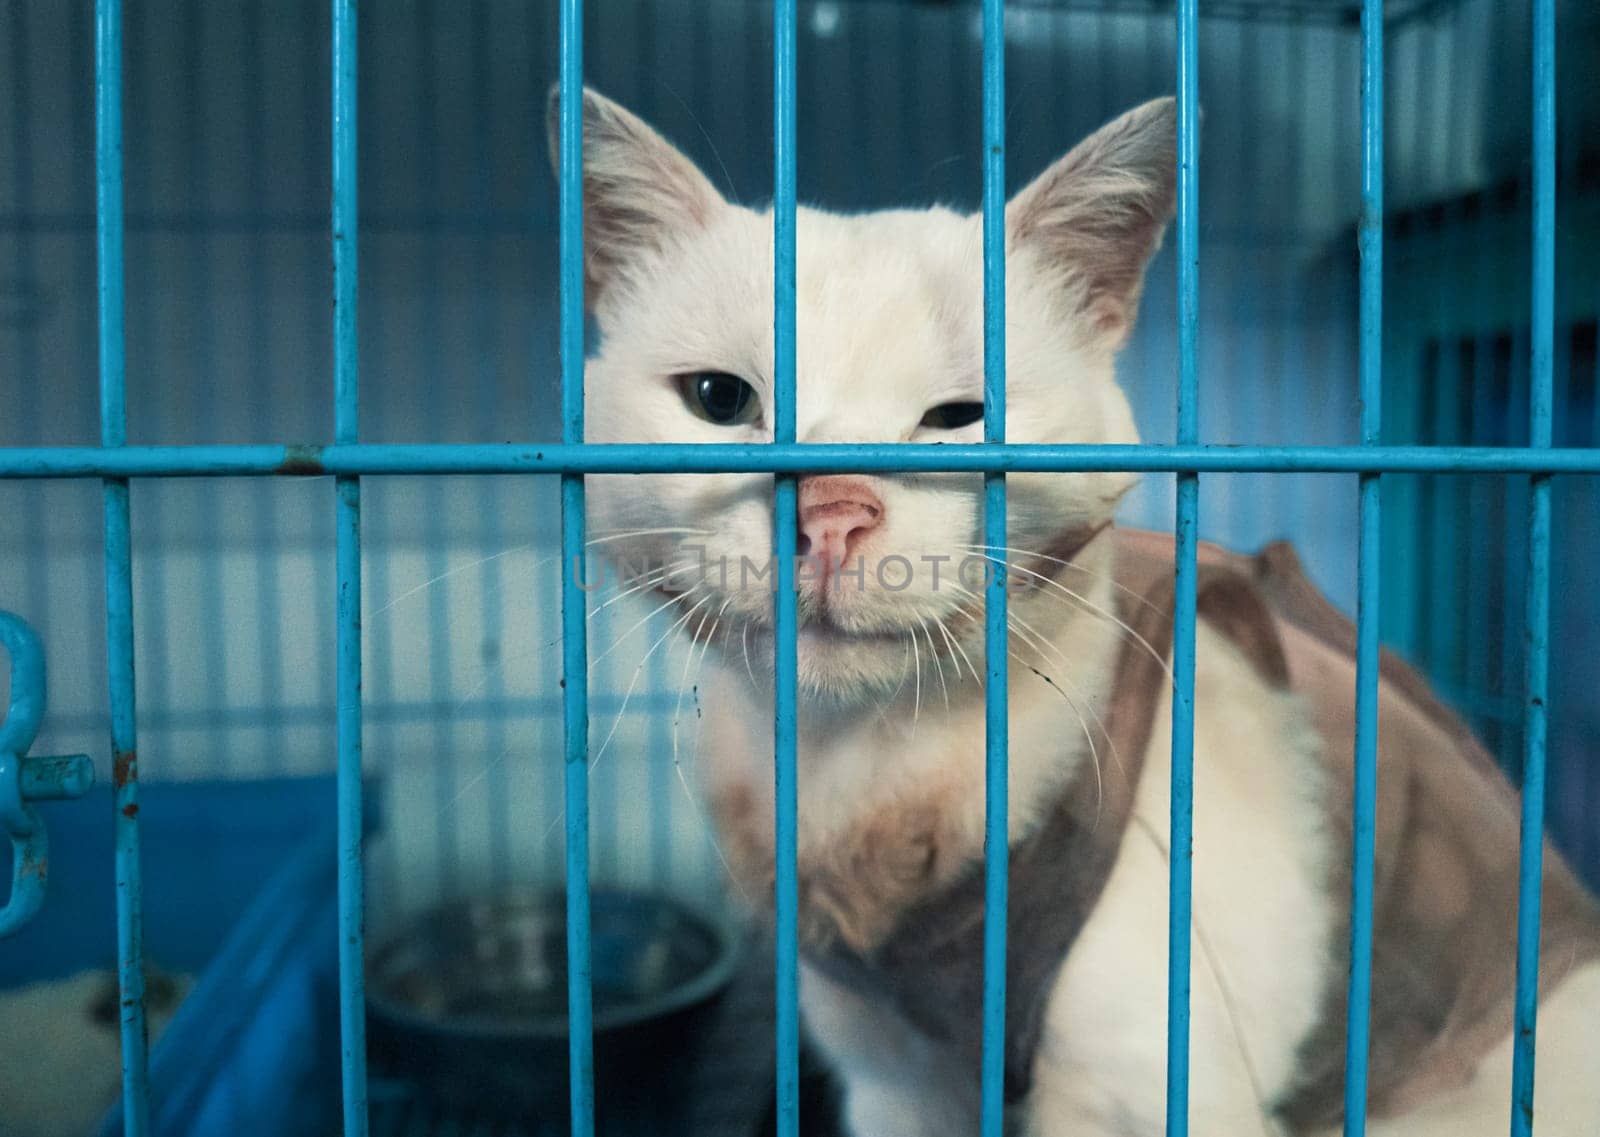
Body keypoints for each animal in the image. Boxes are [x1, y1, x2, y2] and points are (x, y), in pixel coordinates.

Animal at [547, 91, 1600, 1137]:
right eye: (719, 400)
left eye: (958, 418)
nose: (833, 511)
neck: (869, 769)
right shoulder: (891, 1076)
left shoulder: (1160, 1080)